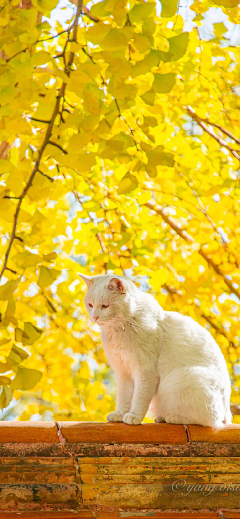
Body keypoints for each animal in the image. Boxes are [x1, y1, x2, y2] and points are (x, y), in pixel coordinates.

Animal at [80, 274, 231, 428]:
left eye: (105, 306)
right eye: (90, 305)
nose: (95, 317)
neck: (120, 328)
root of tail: (227, 414)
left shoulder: (146, 371)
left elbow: (139, 397)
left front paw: (134, 416)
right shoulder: (123, 372)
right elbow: (124, 397)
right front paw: (120, 415)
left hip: (184, 378)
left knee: (208, 420)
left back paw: (172, 418)